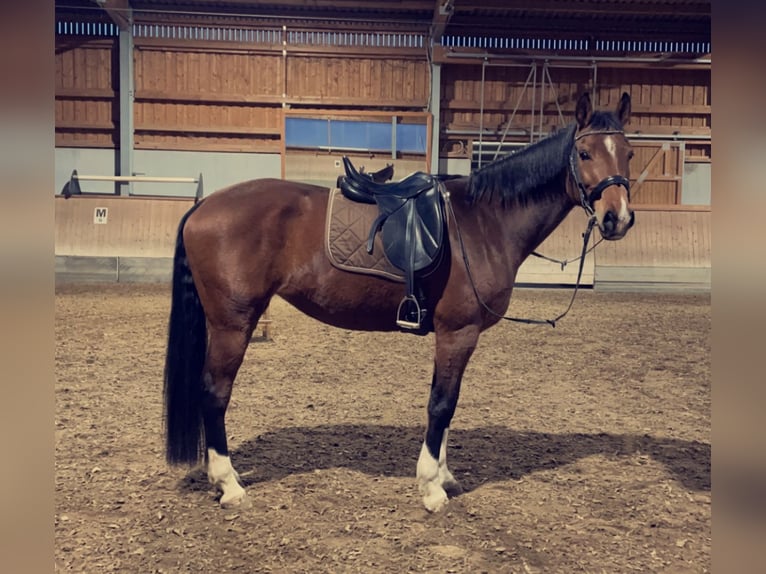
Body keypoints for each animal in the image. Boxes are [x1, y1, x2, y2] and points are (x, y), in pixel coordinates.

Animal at [162, 92, 636, 516]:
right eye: (584, 153)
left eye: (629, 153)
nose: (618, 218)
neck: (483, 222)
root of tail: (204, 207)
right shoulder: (458, 332)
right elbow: (441, 404)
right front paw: (431, 488)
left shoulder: (454, 337)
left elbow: (446, 404)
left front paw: (443, 476)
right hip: (233, 325)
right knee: (215, 393)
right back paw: (229, 484)